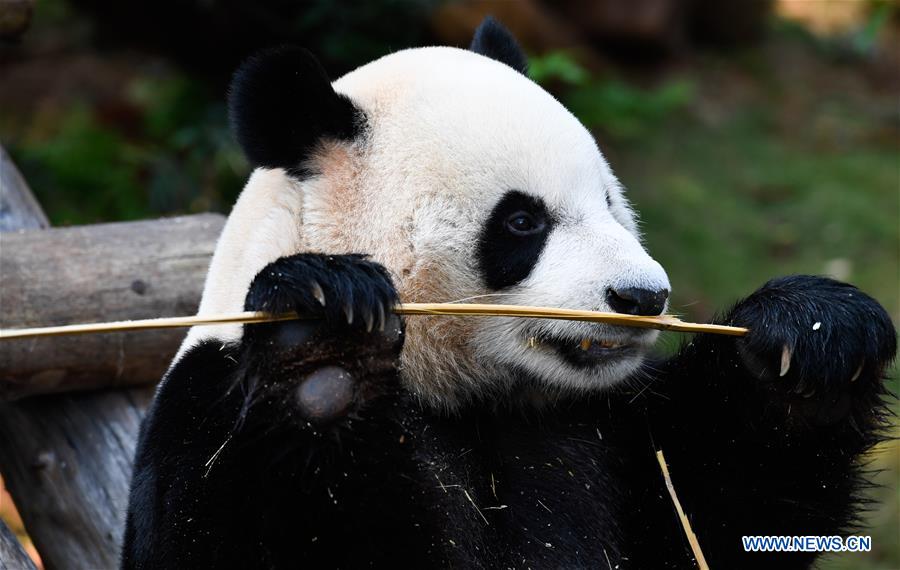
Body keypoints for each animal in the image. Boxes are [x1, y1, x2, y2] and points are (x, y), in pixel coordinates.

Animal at [122, 18, 896, 569]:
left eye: (610, 203)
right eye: (523, 221)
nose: (642, 296)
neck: (468, 398)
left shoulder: (605, 428)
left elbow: (718, 507)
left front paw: (817, 338)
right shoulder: (204, 403)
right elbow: (214, 533)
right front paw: (319, 347)